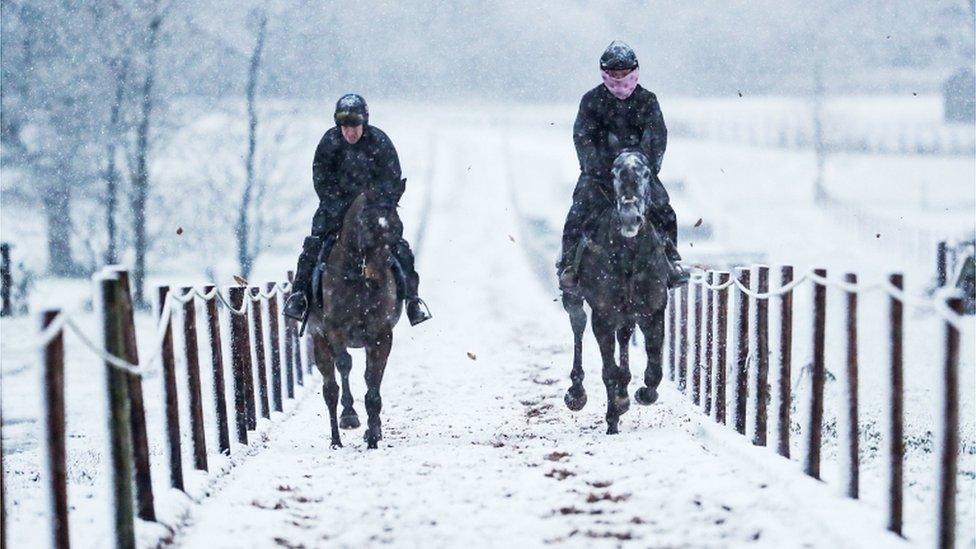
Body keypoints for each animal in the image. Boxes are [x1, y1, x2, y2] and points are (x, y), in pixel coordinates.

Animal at [306, 193, 402, 450]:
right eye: (366, 226)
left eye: (397, 227)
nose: (378, 276)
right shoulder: (334, 330)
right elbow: (344, 364)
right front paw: (350, 415)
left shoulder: (381, 335)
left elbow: (373, 380)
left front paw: (373, 436)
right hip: (319, 342)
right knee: (330, 389)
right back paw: (336, 439)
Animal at [564, 149, 672, 432]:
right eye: (613, 173)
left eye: (646, 173)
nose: (629, 218)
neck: (628, 256)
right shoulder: (602, 315)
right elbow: (608, 370)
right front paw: (615, 412)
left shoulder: (654, 311)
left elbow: (654, 368)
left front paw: (643, 394)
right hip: (574, 299)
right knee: (578, 325)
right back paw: (576, 393)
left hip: (628, 313)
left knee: (624, 337)